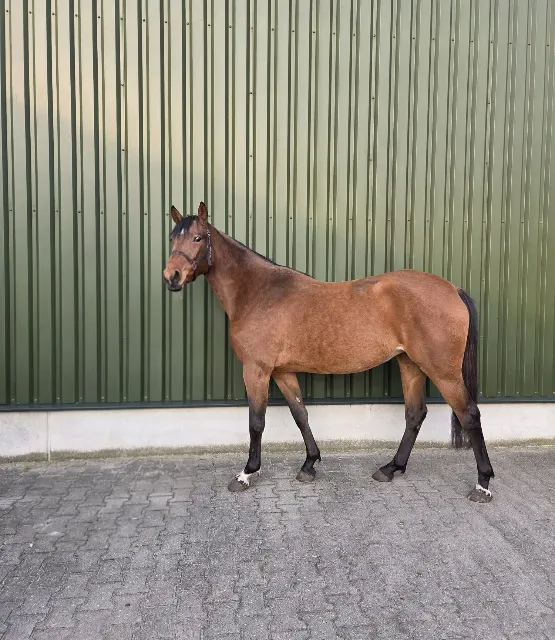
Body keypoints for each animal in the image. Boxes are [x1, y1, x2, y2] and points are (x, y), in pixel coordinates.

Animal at [163, 202, 494, 503]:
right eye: (172, 238)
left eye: (197, 238)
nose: (171, 277)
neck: (258, 292)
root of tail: (453, 289)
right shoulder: (283, 372)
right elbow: (300, 414)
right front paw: (309, 464)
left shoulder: (256, 370)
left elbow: (256, 422)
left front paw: (246, 473)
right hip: (410, 364)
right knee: (415, 414)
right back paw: (390, 468)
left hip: (443, 371)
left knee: (470, 416)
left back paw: (482, 485)